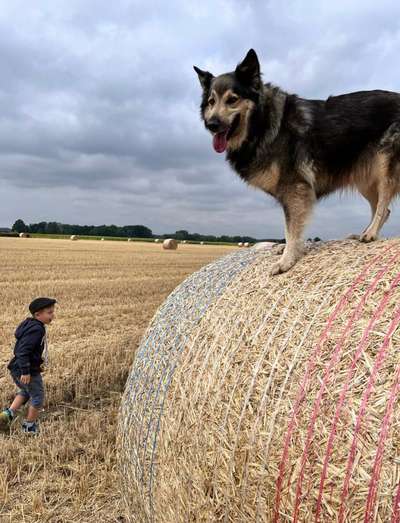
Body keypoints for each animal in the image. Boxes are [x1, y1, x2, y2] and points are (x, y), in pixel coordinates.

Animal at [193, 50, 400, 274]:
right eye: (211, 101)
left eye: (232, 99)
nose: (211, 124)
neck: (263, 123)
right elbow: (290, 227)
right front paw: (287, 251)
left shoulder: (294, 187)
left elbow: (291, 227)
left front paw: (287, 260)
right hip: (365, 177)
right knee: (382, 207)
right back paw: (364, 233)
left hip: (384, 164)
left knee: (383, 203)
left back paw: (370, 233)